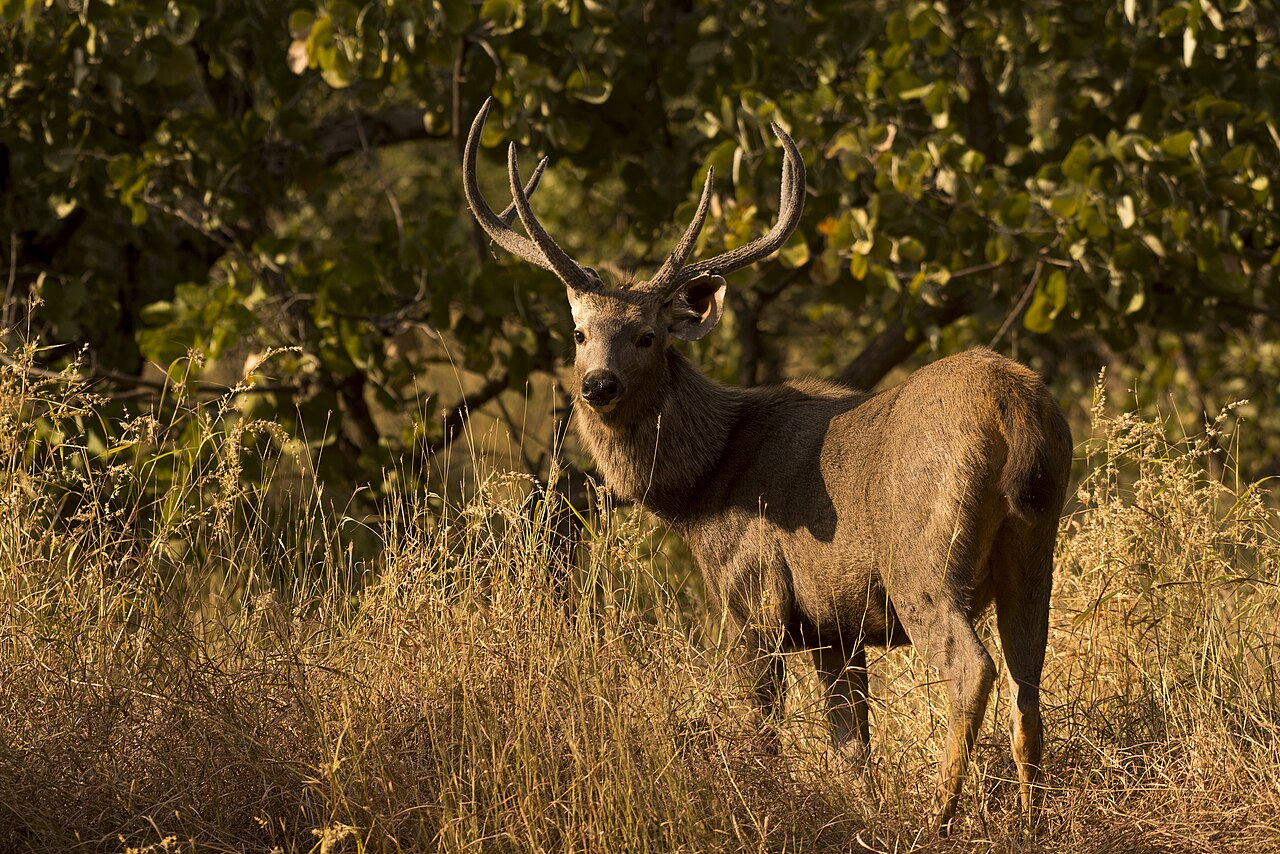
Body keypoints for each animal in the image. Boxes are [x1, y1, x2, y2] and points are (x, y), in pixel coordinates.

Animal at [461, 98, 1073, 831]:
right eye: (580, 333)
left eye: (647, 335)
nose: (597, 384)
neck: (703, 486)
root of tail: (1015, 407)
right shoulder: (834, 625)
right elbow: (851, 746)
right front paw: (862, 815)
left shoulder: (753, 596)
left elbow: (762, 728)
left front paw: (763, 804)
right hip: (1033, 547)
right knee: (1028, 681)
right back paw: (1034, 819)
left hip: (922, 557)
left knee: (972, 668)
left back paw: (938, 815)